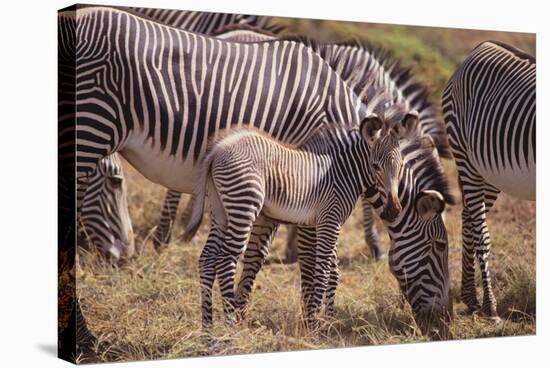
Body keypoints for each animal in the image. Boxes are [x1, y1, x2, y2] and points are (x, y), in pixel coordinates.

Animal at [183, 104, 416, 328]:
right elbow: (323, 270)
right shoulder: (330, 220)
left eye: (400, 166)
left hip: (220, 210)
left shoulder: (324, 223)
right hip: (244, 206)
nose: (394, 210)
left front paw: (328, 321)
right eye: (375, 166)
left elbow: (333, 272)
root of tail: (218, 149)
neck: (342, 172)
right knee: (225, 260)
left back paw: (208, 325)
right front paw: (315, 327)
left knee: (207, 259)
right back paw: (230, 323)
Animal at [444, 41, 540, 320]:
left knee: (468, 217)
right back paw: (489, 305)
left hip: (489, 174)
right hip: (466, 160)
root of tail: (479, 47)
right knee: (480, 229)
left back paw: (471, 298)